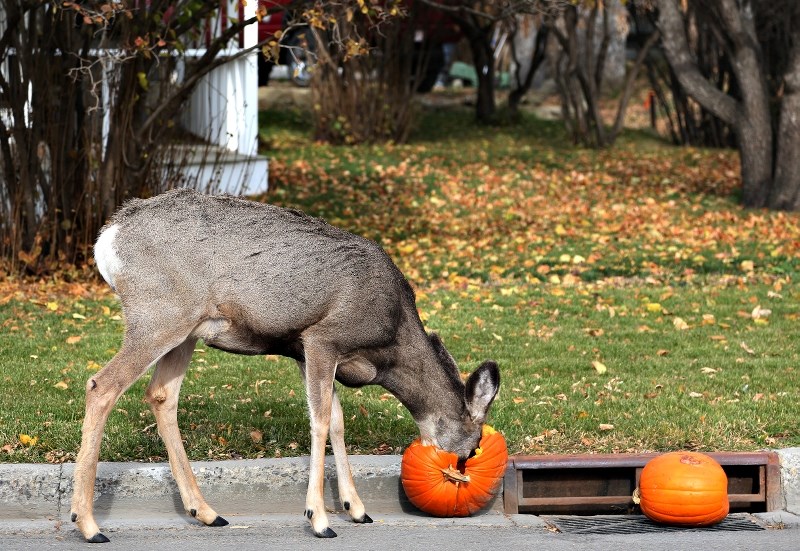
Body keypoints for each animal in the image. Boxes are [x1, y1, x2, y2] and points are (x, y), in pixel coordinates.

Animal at [73, 190, 500, 544]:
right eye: (473, 447)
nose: (461, 472)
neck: (389, 344)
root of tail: (107, 238)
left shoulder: (302, 350)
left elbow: (338, 421)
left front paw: (356, 509)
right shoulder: (323, 337)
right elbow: (321, 420)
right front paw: (319, 519)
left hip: (187, 330)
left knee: (161, 395)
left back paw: (206, 512)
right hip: (158, 315)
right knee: (101, 385)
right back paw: (89, 524)